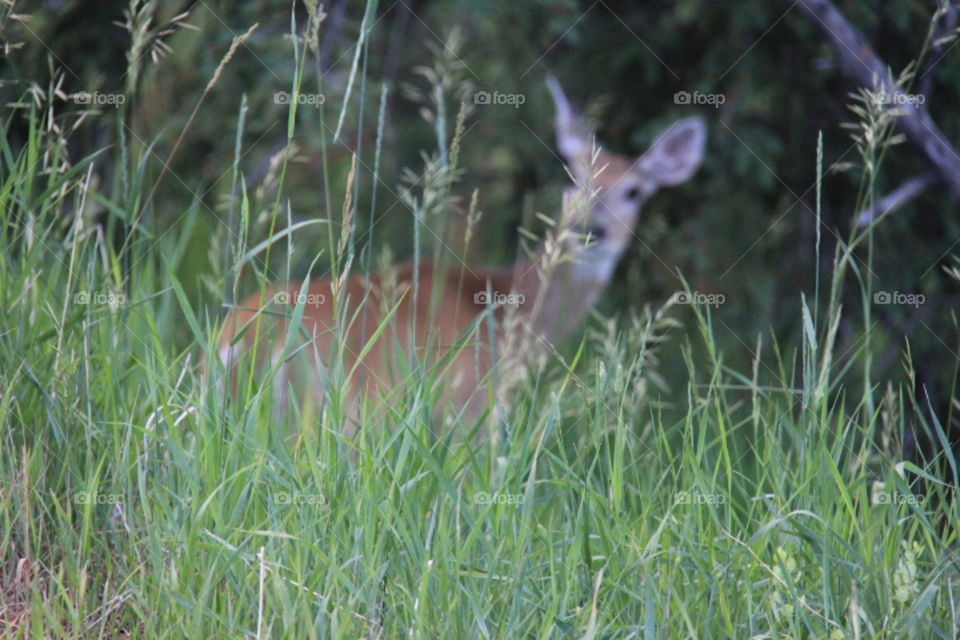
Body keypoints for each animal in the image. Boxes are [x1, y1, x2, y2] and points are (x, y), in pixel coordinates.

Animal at [217, 78, 706, 432]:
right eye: (575, 176)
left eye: (635, 191)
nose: (591, 229)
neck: (507, 307)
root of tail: (240, 339)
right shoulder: (473, 404)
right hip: (340, 408)